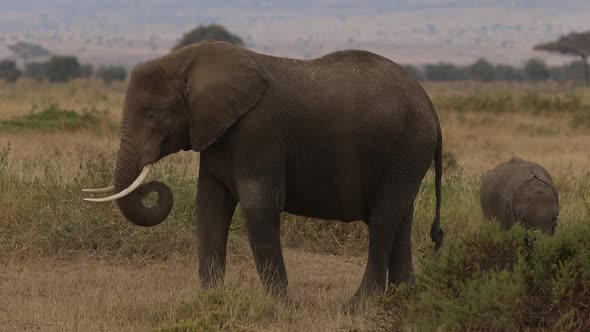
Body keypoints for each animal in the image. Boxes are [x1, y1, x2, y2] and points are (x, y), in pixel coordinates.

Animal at [83, 41, 444, 304]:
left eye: (151, 117)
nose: (151, 187)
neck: (189, 61)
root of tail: (430, 106)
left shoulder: (258, 132)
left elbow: (259, 205)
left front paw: (284, 307)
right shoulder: (217, 135)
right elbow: (210, 206)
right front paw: (211, 300)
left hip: (407, 147)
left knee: (383, 220)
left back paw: (358, 307)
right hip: (407, 155)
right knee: (401, 219)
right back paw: (402, 301)